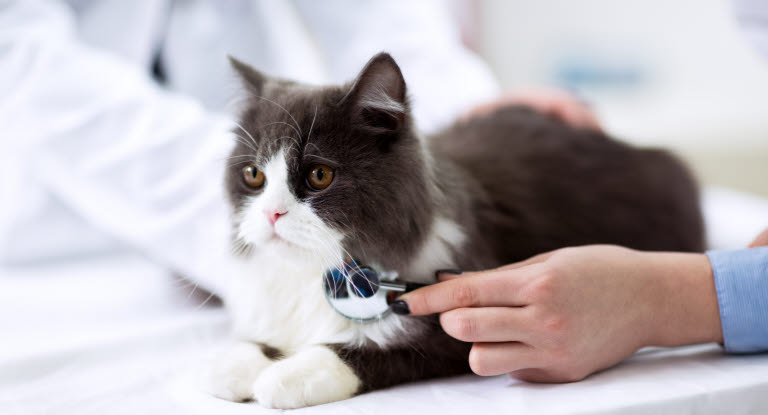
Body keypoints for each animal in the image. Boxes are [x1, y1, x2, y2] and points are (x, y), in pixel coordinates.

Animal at [202, 52, 704, 410]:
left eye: (318, 176)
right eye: (253, 176)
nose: (272, 214)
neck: (316, 272)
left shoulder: (456, 330)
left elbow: (371, 351)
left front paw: (289, 374)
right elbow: (257, 338)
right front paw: (238, 363)